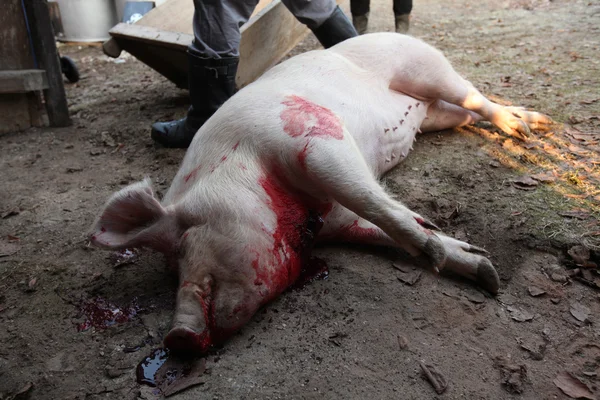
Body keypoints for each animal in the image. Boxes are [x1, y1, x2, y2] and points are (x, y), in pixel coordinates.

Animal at [86, 33, 552, 354]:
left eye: (183, 241)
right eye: (170, 271)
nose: (178, 336)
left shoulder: (313, 136)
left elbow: (369, 198)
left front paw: (435, 255)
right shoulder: (339, 221)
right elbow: (376, 226)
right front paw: (482, 270)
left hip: (426, 67)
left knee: (475, 96)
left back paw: (524, 130)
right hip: (437, 114)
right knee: (469, 111)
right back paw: (535, 123)